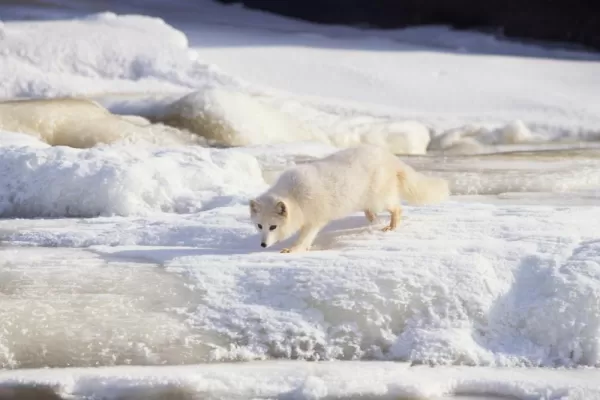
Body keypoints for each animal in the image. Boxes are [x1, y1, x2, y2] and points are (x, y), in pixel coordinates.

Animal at [248, 145, 450, 253]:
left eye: (273, 227)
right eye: (259, 226)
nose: (263, 244)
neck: (295, 196)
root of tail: (389, 156)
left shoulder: (315, 219)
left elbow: (304, 238)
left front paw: (293, 249)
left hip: (379, 198)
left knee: (397, 208)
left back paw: (390, 226)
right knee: (371, 211)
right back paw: (373, 220)